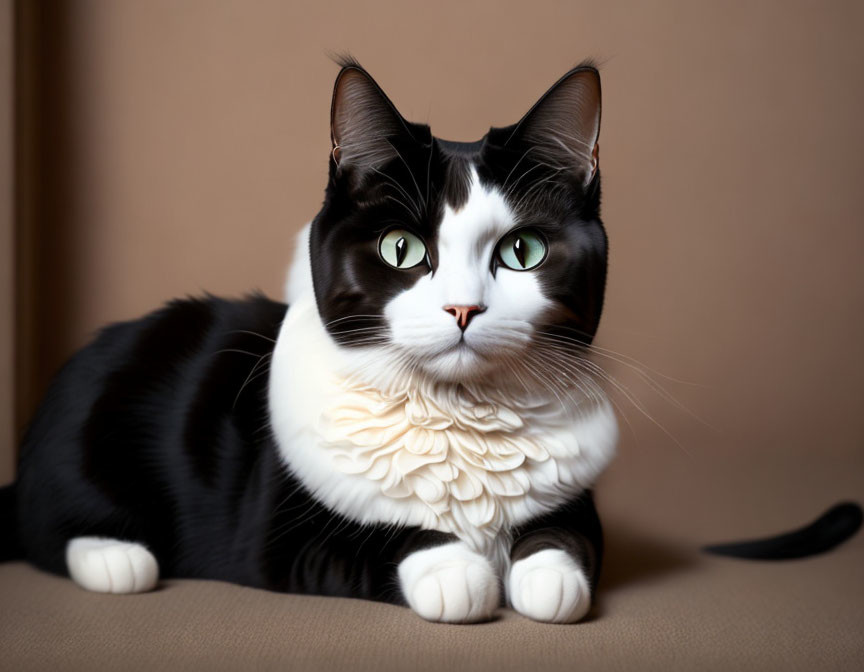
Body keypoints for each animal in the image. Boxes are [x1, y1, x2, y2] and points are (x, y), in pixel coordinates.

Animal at [1, 57, 856, 624]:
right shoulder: (278, 531)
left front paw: (544, 574)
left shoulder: (575, 498)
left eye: (523, 252)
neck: (459, 419)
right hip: (88, 441)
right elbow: (380, 538)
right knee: (50, 525)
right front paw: (459, 569)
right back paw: (116, 556)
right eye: (402, 250)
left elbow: (566, 537)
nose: (463, 309)